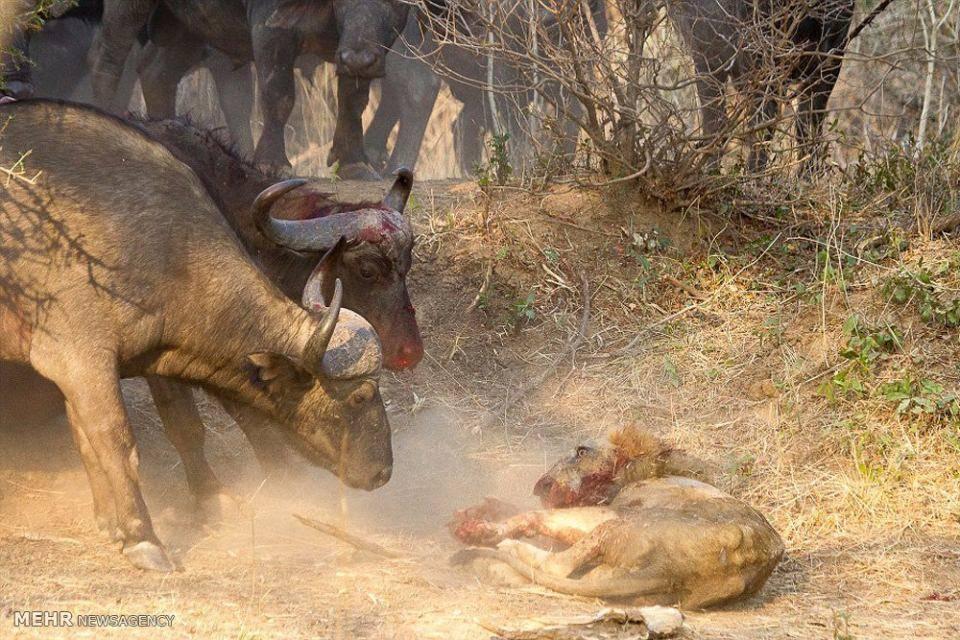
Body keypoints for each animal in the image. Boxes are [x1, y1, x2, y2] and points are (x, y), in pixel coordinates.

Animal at [0, 99, 390, 568]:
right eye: (360, 397)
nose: (384, 471)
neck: (163, 250)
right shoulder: (81, 360)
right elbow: (116, 441)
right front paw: (141, 536)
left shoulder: (147, 357)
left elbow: (166, 428)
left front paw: (121, 520)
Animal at [448, 428, 780, 608]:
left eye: (581, 452)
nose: (540, 484)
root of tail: (676, 571)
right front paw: (482, 510)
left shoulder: (609, 509)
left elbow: (539, 516)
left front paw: (484, 526)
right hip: (614, 577)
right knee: (562, 579)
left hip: (621, 523)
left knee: (557, 566)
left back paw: (497, 549)